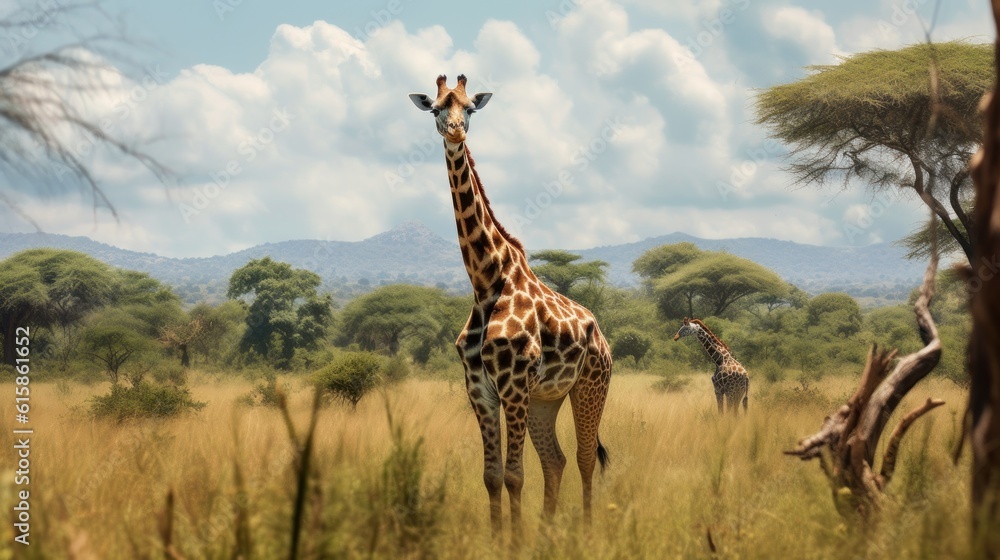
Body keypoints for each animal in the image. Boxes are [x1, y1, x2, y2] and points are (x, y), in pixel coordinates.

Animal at [408, 75, 613, 538]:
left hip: (591, 385)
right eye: (436, 109)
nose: (455, 131)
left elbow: (516, 475)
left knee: (584, 458)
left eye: (470, 107)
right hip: (545, 399)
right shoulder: (481, 390)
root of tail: (602, 335)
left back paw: (587, 531)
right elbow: (492, 476)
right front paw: (502, 539)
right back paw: (548, 532)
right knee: (555, 460)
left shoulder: (514, 385)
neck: (486, 282)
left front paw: (514, 543)